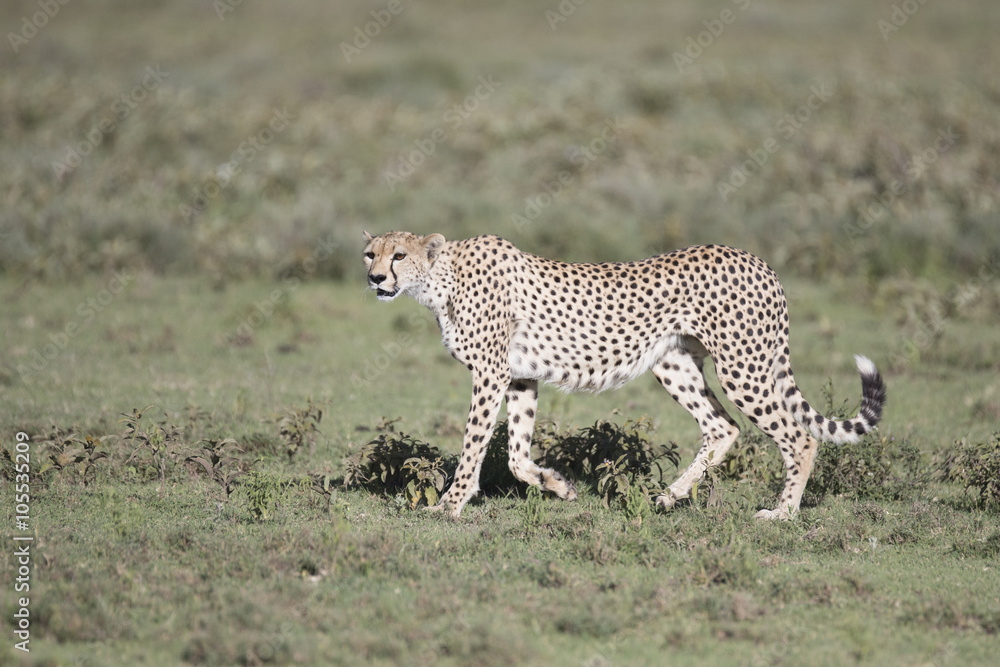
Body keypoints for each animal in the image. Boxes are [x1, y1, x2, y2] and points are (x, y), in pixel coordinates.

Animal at [362, 231, 887, 519]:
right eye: (371, 253)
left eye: (399, 255)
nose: (375, 278)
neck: (440, 280)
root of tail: (759, 261)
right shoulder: (520, 376)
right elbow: (515, 455)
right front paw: (559, 485)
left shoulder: (491, 373)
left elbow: (473, 446)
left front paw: (449, 506)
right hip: (673, 364)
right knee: (722, 427)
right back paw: (670, 498)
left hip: (743, 366)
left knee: (800, 437)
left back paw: (782, 513)